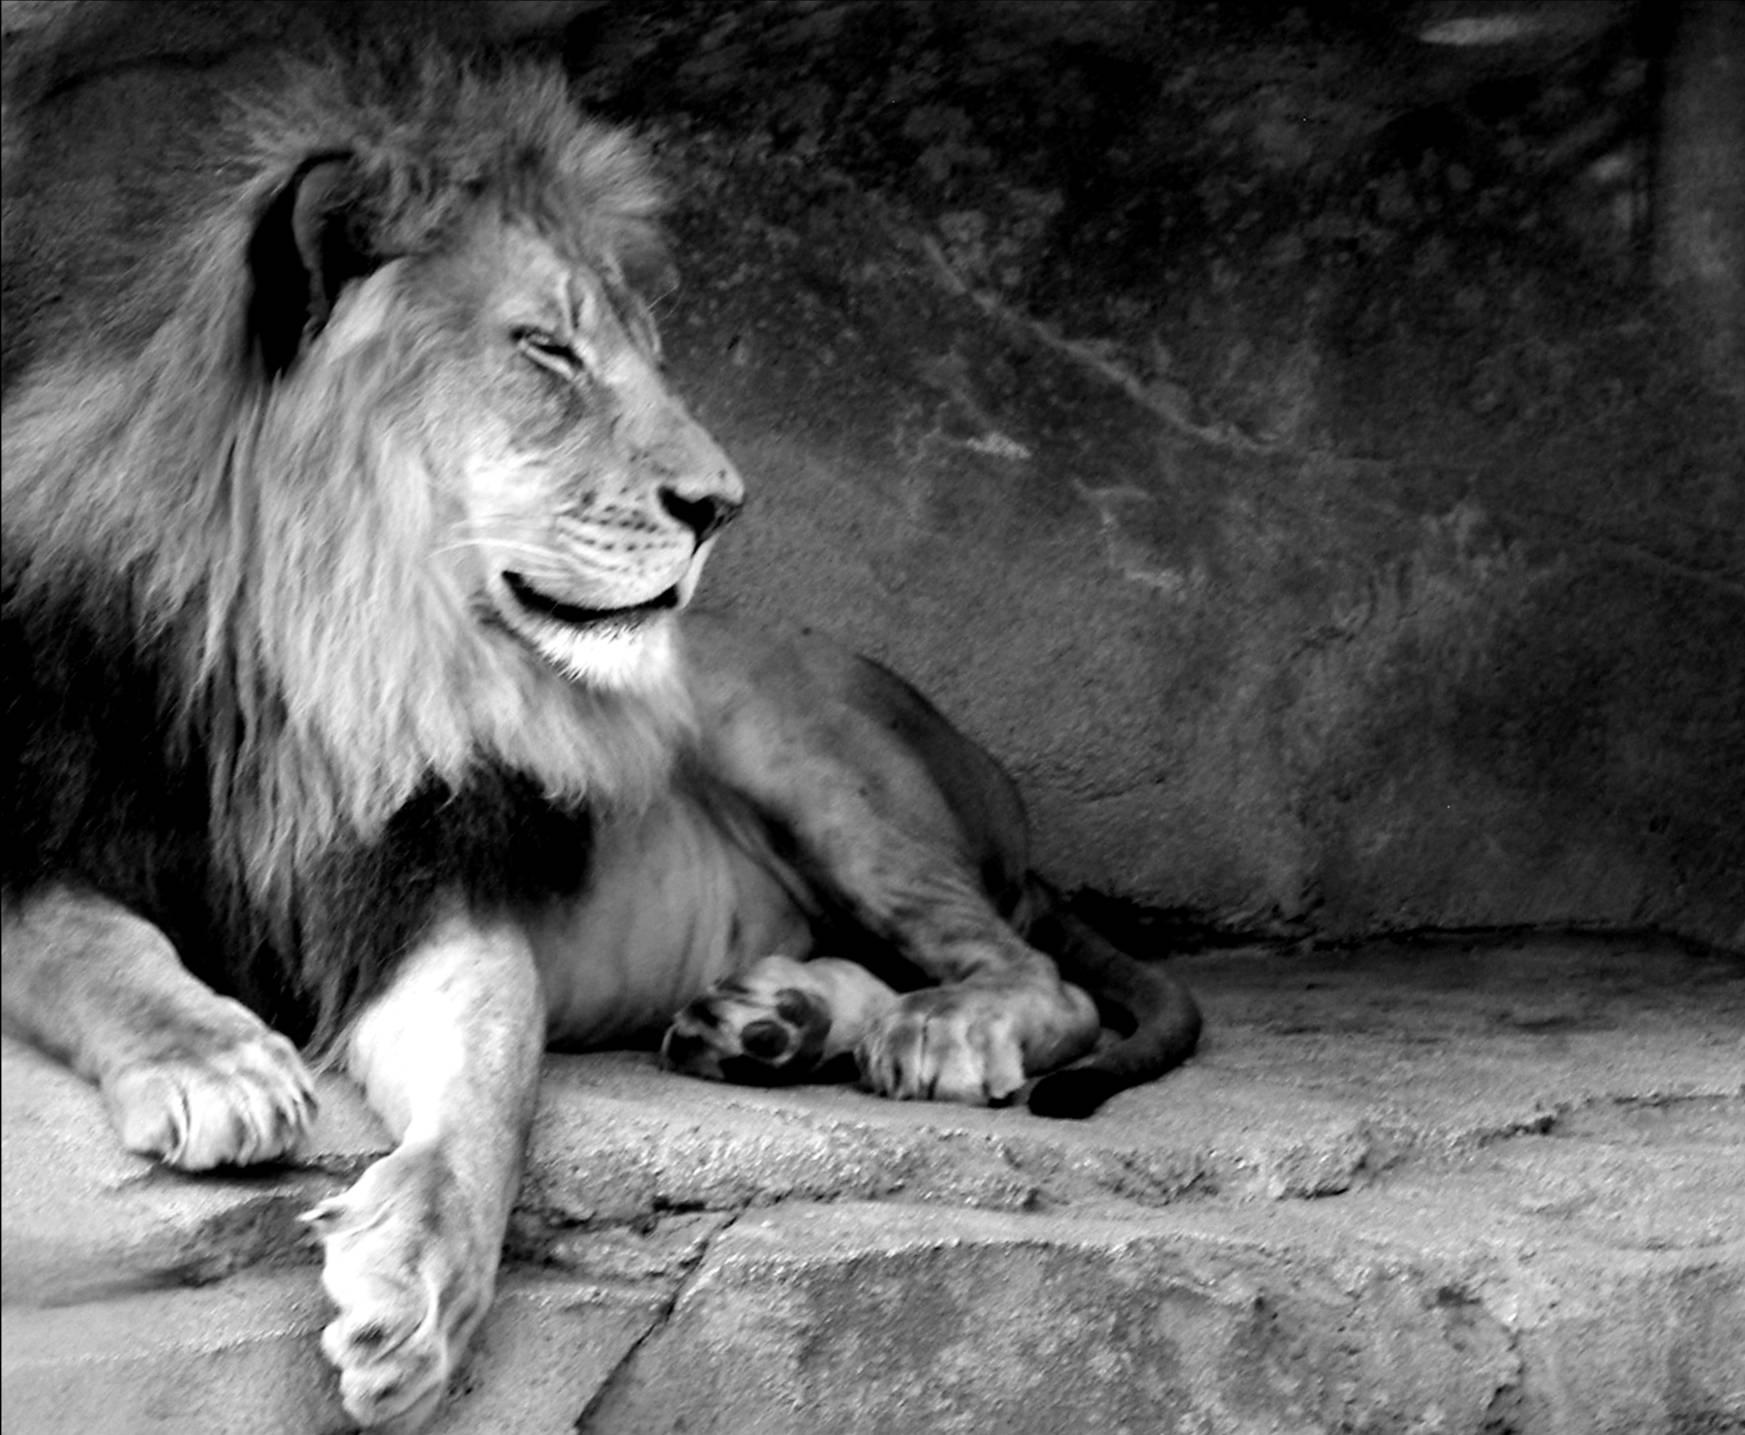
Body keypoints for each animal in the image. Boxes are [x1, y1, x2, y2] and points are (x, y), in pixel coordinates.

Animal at [1, 46, 1200, 1431]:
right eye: (547, 349)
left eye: (645, 353)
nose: (721, 503)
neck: (329, 668)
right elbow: (86, 939)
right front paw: (217, 1064)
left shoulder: (428, 896)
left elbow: (490, 1084)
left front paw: (419, 1287)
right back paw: (770, 1018)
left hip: (794, 744)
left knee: (1036, 974)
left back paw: (920, 1029)